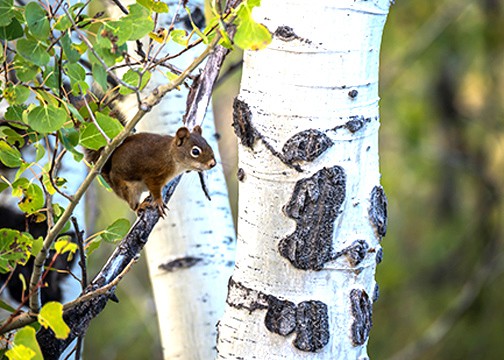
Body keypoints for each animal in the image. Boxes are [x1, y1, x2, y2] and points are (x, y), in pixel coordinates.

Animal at [87, 126, 217, 217]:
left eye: (209, 144)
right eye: (195, 151)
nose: (213, 164)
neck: (171, 156)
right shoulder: (153, 174)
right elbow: (154, 188)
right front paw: (159, 201)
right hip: (128, 189)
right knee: (132, 205)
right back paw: (139, 206)